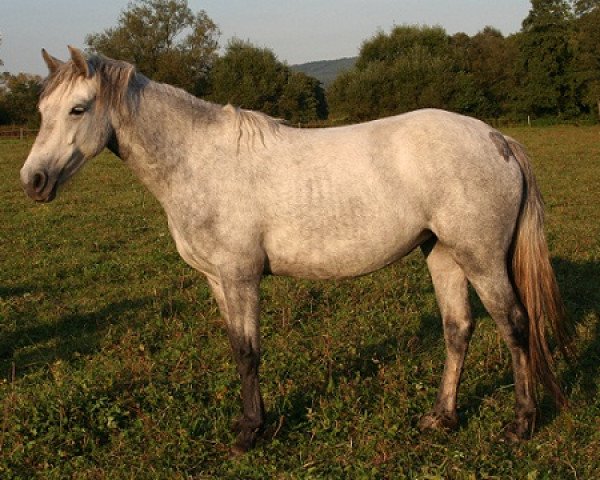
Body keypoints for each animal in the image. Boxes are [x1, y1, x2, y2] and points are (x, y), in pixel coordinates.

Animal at [19, 47, 572, 456]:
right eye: (42, 112)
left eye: (77, 109)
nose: (33, 182)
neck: (197, 161)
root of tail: (496, 137)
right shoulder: (217, 280)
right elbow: (237, 348)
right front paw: (250, 423)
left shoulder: (240, 276)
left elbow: (248, 352)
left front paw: (250, 434)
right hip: (443, 255)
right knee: (458, 329)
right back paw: (442, 417)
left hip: (482, 259)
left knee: (515, 326)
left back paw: (521, 424)